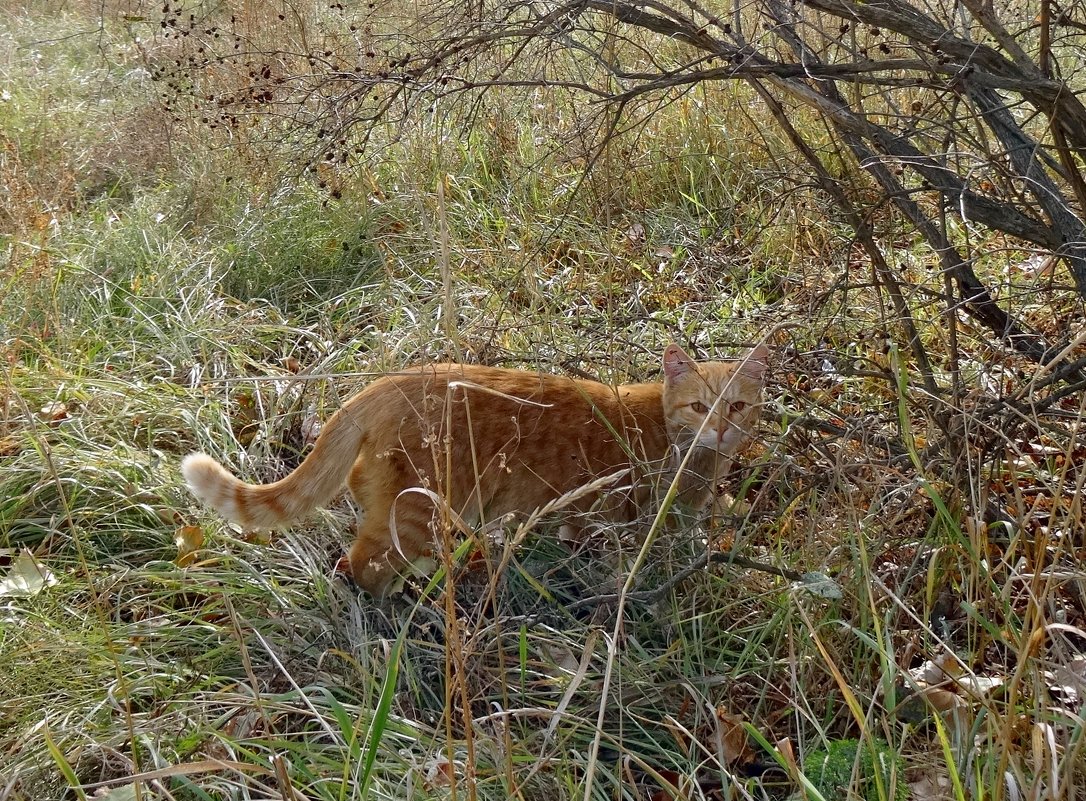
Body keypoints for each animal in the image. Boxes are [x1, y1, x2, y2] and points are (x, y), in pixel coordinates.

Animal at [184, 342, 764, 594]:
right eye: (700, 406)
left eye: (737, 406)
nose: (720, 429)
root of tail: (381, 384)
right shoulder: (627, 520)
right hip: (417, 511)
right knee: (363, 563)